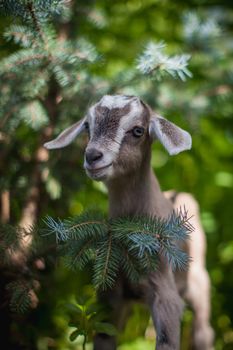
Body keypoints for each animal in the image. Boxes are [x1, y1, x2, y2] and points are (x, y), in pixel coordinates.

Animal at [44, 95, 214, 350]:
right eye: (87, 126)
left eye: (138, 130)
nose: (92, 156)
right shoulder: (110, 293)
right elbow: (104, 337)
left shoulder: (166, 295)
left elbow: (168, 339)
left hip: (198, 281)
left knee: (204, 331)